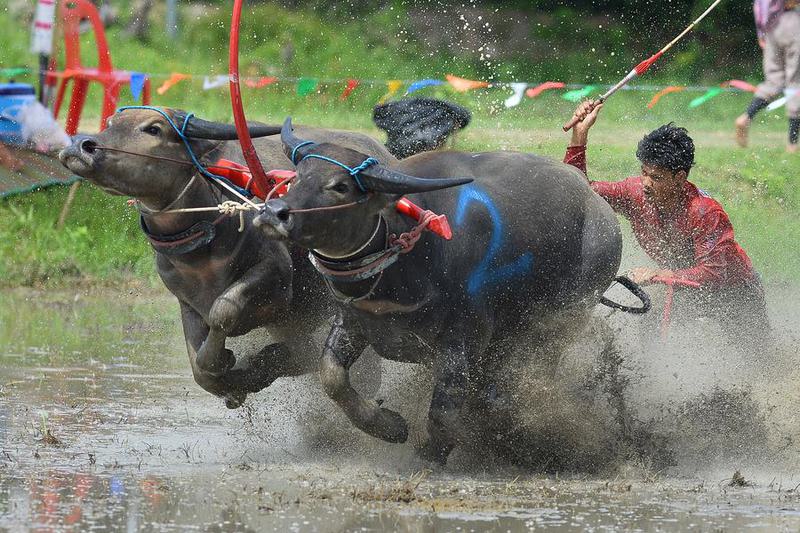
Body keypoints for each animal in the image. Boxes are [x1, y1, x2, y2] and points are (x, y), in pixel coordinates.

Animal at [59, 107, 394, 408]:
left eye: (153, 129)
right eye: (110, 123)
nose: (81, 145)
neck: (201, 249)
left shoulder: (276, 277)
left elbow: (222, 312)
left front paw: (229, 363)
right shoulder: (187, 302)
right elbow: (198, 367)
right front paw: (229, 382)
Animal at [253, 118, 623, 464]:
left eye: (340, 186)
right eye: (297, 177)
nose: (273, 213)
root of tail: (594, 199)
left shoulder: (465, 337)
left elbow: (444, 409)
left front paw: (433, 452)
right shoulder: (353, 322)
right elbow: (332, 377)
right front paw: (389, 426)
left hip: (568, 314)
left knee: (530, 377)